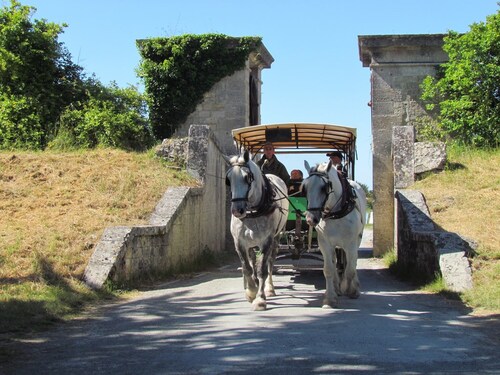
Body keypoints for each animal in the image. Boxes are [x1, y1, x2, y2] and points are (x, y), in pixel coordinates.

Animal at [224, 150, 290, 312]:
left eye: (247, 177)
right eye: (228, 179)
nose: (237, 210)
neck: (253, 211)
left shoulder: (266, 242)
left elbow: (262, 270)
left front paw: (260, 299)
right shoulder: (239, 243)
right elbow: (247, 268)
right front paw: (251, 291)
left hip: (276, 238)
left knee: (270, 263)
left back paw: (270, 288)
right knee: (253, 260)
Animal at [300, 160, 368, 310]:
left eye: (324, 187)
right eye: (305, 188)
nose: (310, 219)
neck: (335, 212)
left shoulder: (351, 244)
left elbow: (349, 269)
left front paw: (349, 289)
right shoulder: (325, 244)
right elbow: (328, 269)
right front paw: (330, 298)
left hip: (357, 239)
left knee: (352, 263)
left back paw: (353, 286)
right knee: (336, 262)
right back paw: (336, 287)